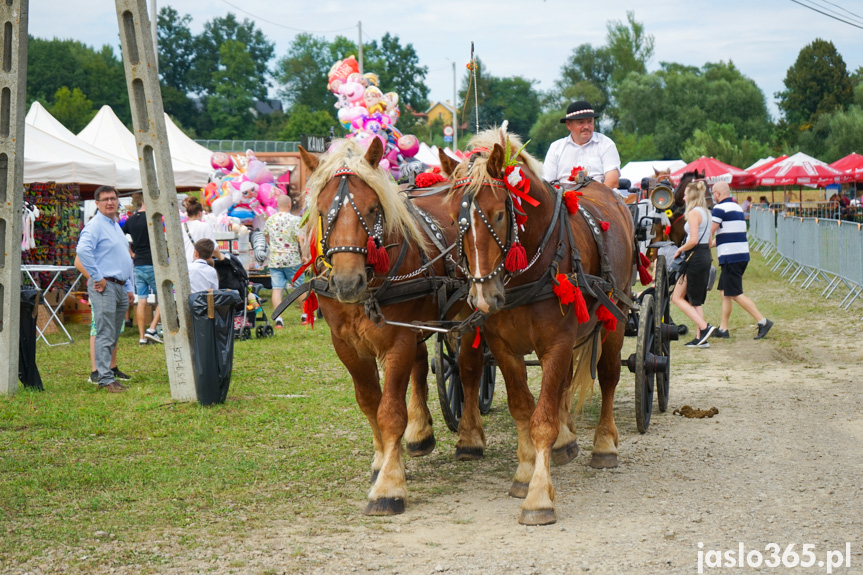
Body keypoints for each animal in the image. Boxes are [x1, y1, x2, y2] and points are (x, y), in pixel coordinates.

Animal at [300, 138, 482, 516]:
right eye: (322, 211)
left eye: (373, 209)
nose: (347, 282)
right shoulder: (347, 346)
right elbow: (370, 402)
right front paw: (383, 460)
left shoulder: (398, 340)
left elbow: (390, 412)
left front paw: (389, 487)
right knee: (420, 366)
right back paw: (420, 434)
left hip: (465, 313)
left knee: (470, 369)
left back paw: (470, 438)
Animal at [438, 127, 636, 528]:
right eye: (452, 220)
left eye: (500, 214)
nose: (483, 298)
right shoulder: (503, 345)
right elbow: (522, 407)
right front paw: (525, 472)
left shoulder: (557, 342)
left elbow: (541, 419)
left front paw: (539, 496)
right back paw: (566, 442)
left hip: (616, 317)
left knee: (608, 375)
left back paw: (603, 445)